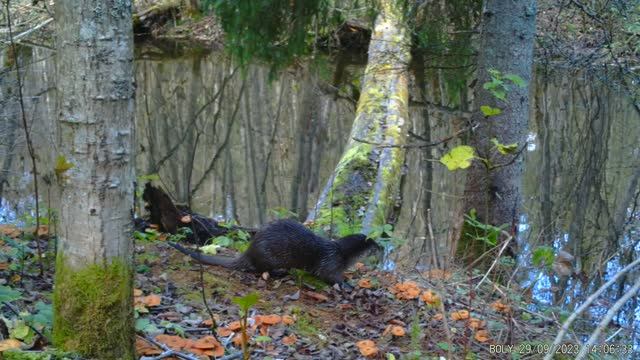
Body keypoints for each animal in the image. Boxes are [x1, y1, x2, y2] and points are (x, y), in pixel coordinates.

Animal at [170, 219, 380, 284]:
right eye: (375, 246)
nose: (382, 248)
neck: (341, 253)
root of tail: (250, 251)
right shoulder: (331, 262)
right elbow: (327, 276)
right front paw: (346, 284)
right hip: (268, 256)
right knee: (260, 269)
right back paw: (280, 272)